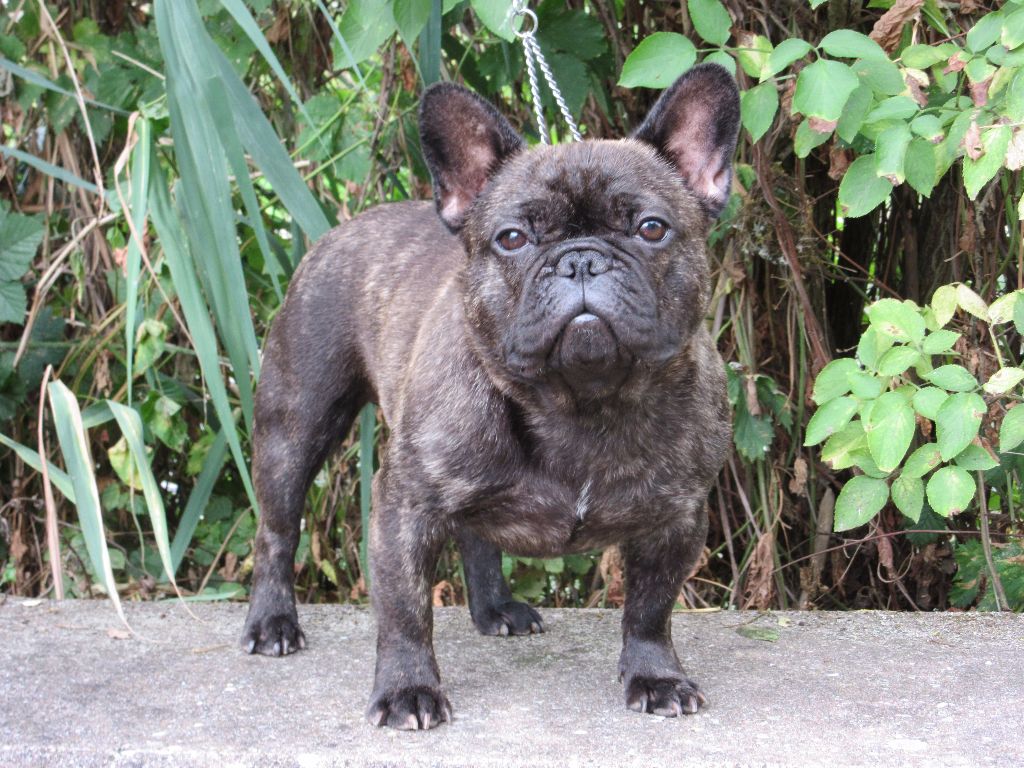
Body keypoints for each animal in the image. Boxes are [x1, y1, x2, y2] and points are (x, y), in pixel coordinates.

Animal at [241, 63, 738, 730]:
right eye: (513, 238)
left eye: (651, 229)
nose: (580, 260)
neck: (579, 403)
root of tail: (342, 229)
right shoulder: (403, 507)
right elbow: (404, 611)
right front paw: (407, 690)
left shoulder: (677, 517)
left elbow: (650, 609)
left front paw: (656, 676)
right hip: (296, 424)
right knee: (277, 528)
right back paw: (272, 622)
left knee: (476, 534)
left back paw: (496, 608)